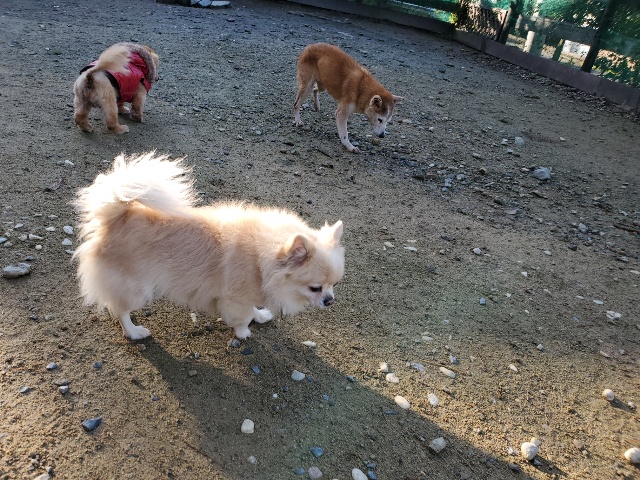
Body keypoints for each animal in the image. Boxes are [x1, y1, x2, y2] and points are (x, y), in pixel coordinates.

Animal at [72, 152, 345, 341]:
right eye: (315, 288)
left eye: (333, 285)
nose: (330, 301)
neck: (261, 259)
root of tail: (116, 215)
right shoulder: (234, 298)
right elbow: (243, 316)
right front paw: (244, 332)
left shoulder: (249, 294)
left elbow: (254, 308)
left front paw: (260, 315)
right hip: (136, 288)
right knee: (120, 310)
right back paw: (134, 331)